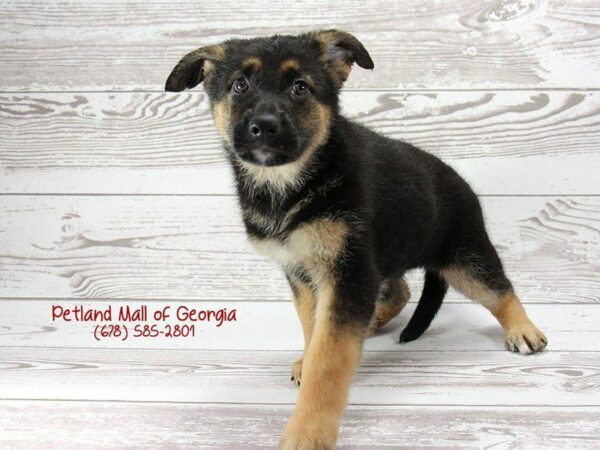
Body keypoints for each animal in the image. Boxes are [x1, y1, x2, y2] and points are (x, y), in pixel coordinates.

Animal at [165, 29, 548, 448]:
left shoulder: (348, 272)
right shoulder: (306, 273)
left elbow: (329, 358)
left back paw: (524, 330)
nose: (264, 126)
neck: (291, 183)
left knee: (498, 288)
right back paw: (371, 324)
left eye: (300, 88)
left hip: (464, 256)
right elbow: (314, 328)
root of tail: (461, 183)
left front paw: (307, 432)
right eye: (239, 85)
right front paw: (308, 359)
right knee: (400, 291)